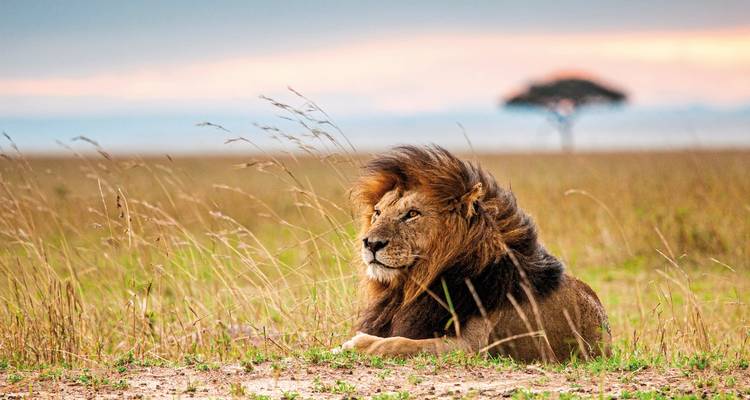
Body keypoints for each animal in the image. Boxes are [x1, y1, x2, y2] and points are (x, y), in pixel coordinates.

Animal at [340, 146, 610, 362]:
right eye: (377, 212)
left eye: (412, 214)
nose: (371, 243)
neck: (413, 286)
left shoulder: (472, 347)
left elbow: (402, 343)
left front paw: (357, 343)